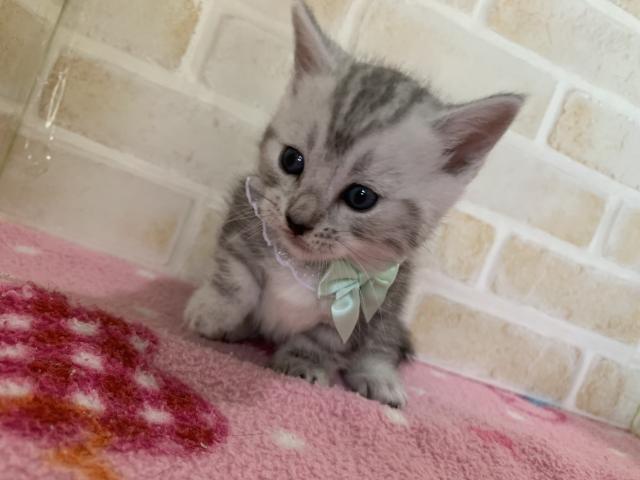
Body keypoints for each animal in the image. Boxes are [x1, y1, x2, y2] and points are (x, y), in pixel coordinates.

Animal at [184, 0, 523, 408]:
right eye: (291, 160)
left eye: (361, 197)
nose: (296, 220)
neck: (311, 267)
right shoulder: (248, 206)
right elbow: (235, 271)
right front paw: (214, 310)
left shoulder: (366, 309)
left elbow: (321, 341)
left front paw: (302, 362)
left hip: (390, 313)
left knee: (382, 347)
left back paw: (380, 378)